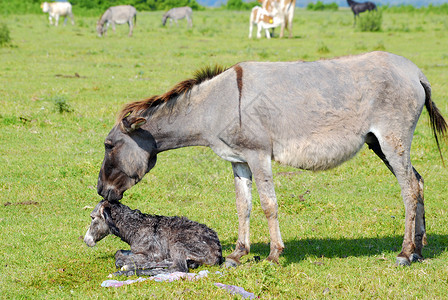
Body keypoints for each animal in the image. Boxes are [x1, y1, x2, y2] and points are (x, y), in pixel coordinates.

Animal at [84, 200, 224, 276]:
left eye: (92, 217)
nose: (86, 240)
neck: (135, 228)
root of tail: (217, 251)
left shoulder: (154, 254)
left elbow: (119, 259)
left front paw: (126, 266)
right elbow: (118, 253)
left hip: (178, 244)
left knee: (179, 268)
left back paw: (127, 271)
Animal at [97, 51, 448, 268]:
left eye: (108, 144)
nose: (100, 191)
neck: (215, 105)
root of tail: (415, 72)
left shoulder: (258, 155)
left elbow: (268, 204)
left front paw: (274, 255)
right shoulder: (238, 160)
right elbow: (243, 205)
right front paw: (238, 254)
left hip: (392, 139)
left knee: (408, 188)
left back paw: (404, 252)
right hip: (379, 143)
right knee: (418, 181)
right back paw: (419, 250)